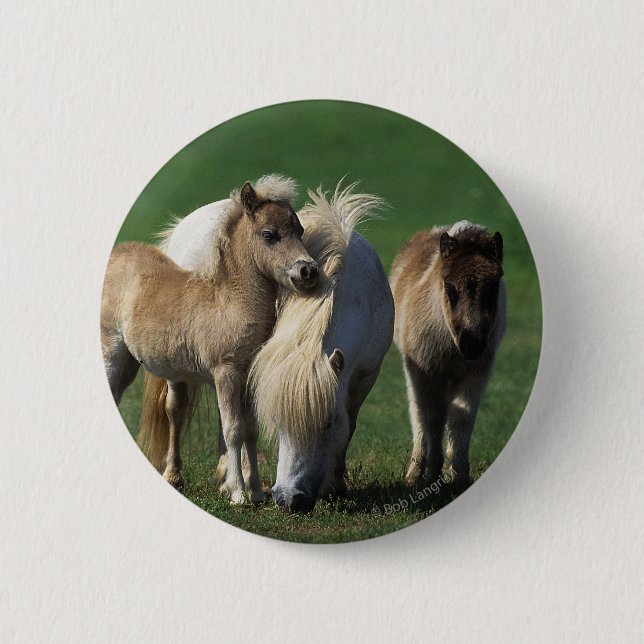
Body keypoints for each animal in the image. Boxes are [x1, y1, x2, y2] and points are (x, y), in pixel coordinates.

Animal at [101, 181, 319, 505]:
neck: (230, 302)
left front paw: (256, 492)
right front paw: (238, 494)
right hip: (112, 352)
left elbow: (250, 430)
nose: (308, 271)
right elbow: (233, 430)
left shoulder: (247, 376)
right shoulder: (226, 373)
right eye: (269, 234)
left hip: (132, 363)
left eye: (300, 230)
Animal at [145, 178, 394, 512]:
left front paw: (335, 483)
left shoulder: (366, 373)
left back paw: (227, 475)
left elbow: (349, 425)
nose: (290, 499)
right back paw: (175, 474)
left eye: (328, 424)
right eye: (268, 235)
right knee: (176, 408)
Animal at [389, 221, 506, 492]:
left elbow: (461, 417)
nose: (473, 344)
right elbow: (432, 417)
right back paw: (414, 473)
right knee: (419, 413)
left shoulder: (476, 373)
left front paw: (459, 477)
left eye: (494, 287)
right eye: (450, 288)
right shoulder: (427, 370)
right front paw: (431, 474)